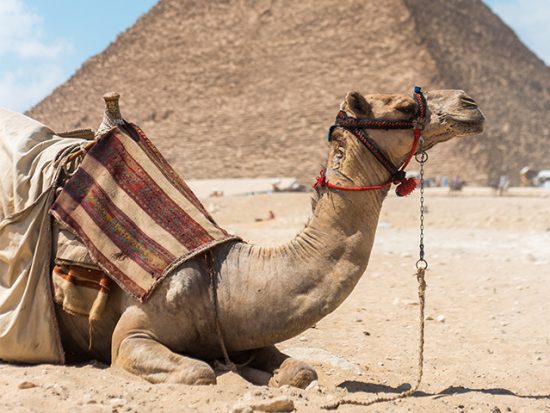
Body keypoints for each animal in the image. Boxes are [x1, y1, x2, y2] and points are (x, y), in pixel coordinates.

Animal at [52, 87, 484, 386]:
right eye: (405, 107)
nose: (470, 104)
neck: (221, 281)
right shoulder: (132, 335)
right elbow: (199, 373)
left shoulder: (248, 332)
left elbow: (302, 372)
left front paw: (267, 377)